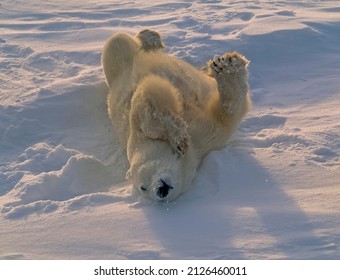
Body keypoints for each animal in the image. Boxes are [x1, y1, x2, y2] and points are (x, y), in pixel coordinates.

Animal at [101, 29, 250, 201]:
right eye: (143, 188)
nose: (160, 190)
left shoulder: (136, 132)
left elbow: (146, 98)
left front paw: (228, 66)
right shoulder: (209, 140)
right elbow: (227, 114)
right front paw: (180, 137)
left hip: (119, 64)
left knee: (116, 42)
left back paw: (151, 37)